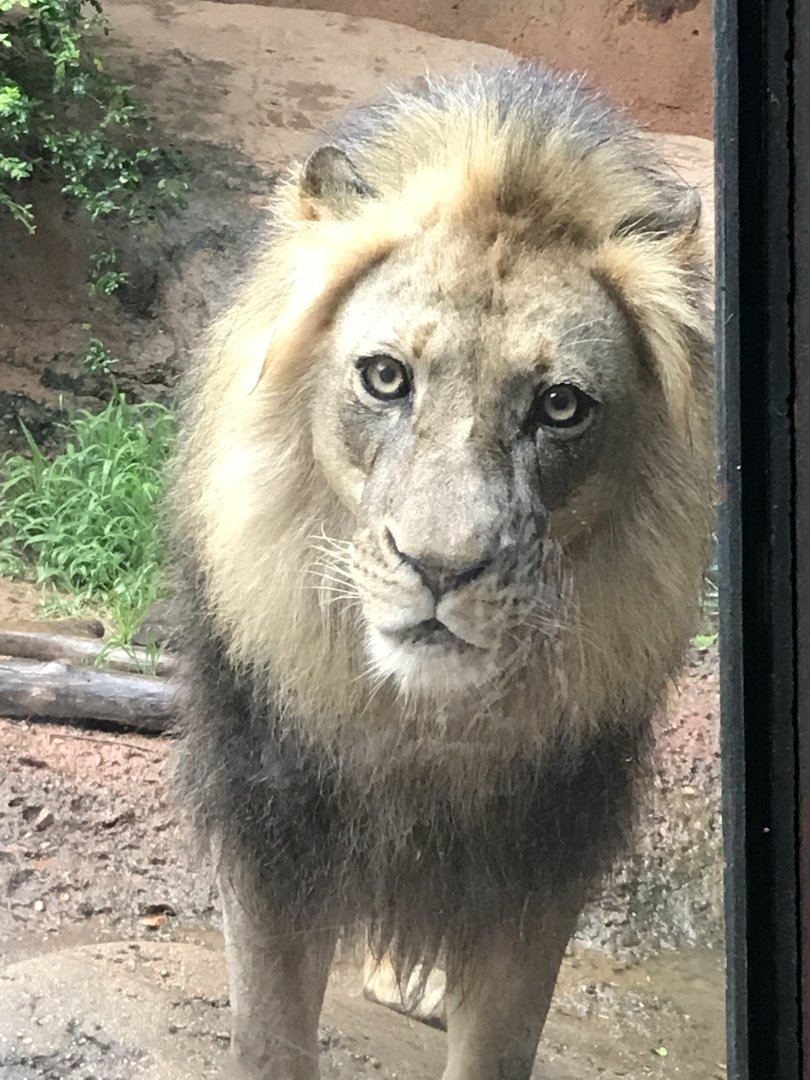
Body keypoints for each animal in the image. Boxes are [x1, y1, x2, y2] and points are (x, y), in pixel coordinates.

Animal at [166, 62, 714, 1080]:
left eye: (560, 406)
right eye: (386, 378)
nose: (439, 568)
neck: (419, 717)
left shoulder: (545, 839)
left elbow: (499, 1034)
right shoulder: (271, 810)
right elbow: (269, 1026)